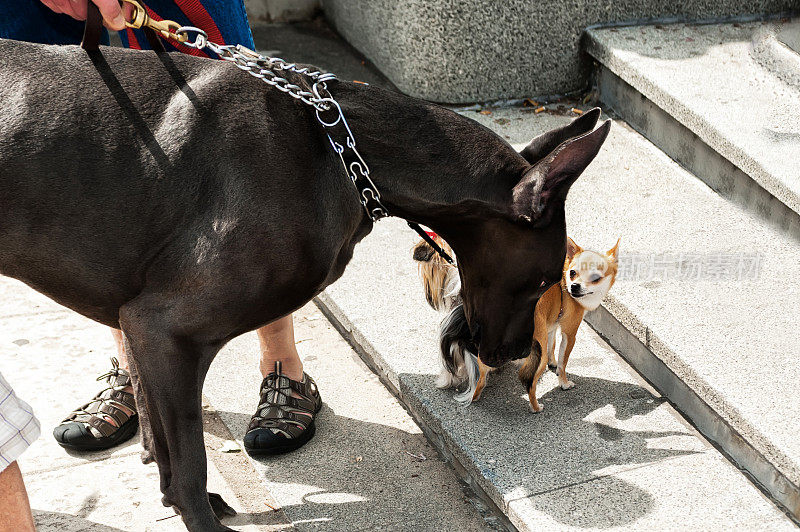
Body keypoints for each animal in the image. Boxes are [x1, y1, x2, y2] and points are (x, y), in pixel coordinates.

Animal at [416, 234, 620, 412]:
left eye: (595, 278)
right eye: (572, 273)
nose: (575, 287)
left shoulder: (550, 324)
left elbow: (552, 346)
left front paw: (553, 362)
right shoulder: (569, 333)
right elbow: (563, 361)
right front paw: (563, 382)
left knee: (478, 375)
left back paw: (474, 394)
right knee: (529, 383)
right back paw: (536, 407)